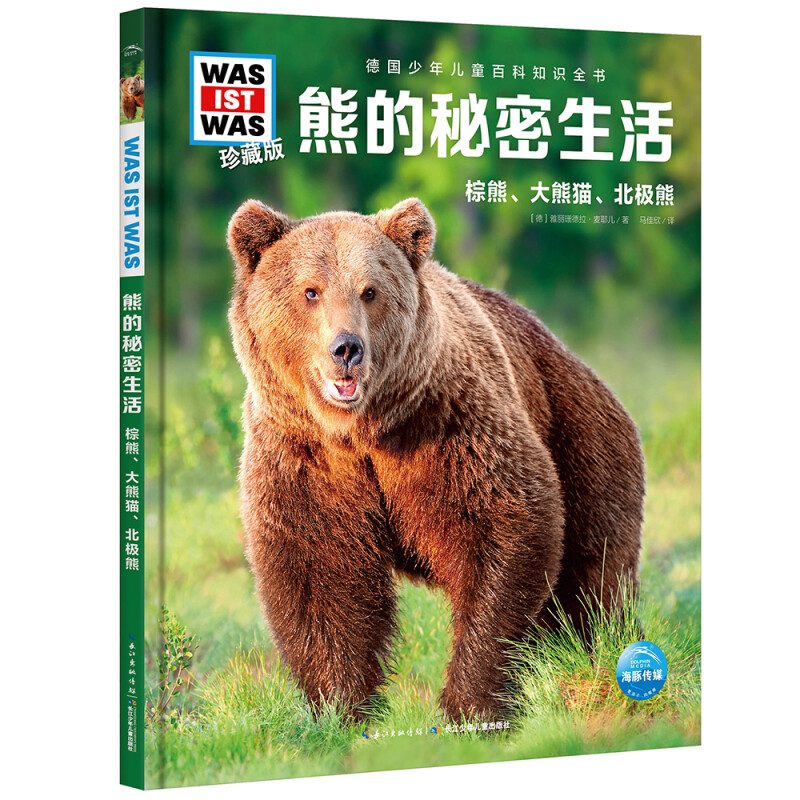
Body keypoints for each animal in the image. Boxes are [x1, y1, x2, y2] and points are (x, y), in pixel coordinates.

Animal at [227, 197, 645, 722]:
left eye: (369, 290)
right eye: (310, 291)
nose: (346, 348)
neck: (361, 431)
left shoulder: (446, 426)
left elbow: (502, 529)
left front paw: (470, 702)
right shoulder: (304, 457)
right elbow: (319, 573)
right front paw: (344, 707)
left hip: (579, 433)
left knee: (594, 570)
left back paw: (600, 647)